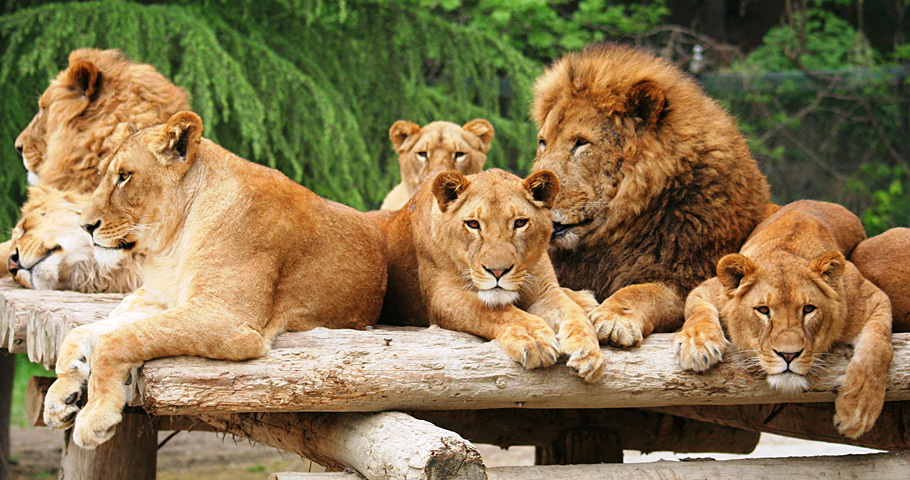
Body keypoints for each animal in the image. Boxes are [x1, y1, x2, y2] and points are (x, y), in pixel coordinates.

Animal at [43, 110, 388, 448]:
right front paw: (65, 387)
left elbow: (116, 341)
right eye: (103, 174)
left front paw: (96, 414)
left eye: (125, 176)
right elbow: (91, 330)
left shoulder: (225, 317)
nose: (85, 226)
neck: (173, 243)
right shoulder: (168, 303)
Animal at [376, 167, 604, 380]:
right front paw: (534, 340)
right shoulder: (443, 296)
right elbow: (495, 311)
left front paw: (588, 351)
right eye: (473, 224)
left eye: (520, 222)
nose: (497, 271)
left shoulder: (545, 291)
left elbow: (574, 313)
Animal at [532, 44, 772, 344]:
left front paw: (614, 318)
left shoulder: (684, 277)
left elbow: (641, 291)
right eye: (543, 142)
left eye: (581, 143)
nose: (535, 190)